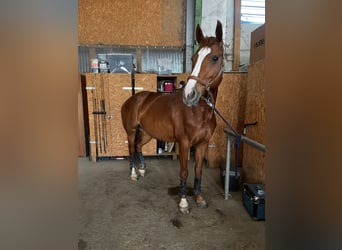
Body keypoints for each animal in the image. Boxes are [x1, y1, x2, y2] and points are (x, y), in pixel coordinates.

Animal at [121, 20, 224, 214]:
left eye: (215, 58)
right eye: (193, 58)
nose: (189, 94)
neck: (199, 112)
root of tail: (132, 99)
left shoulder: (202, 143)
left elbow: (198, 171)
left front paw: (199, 198)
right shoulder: (184, 143)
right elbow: (184, 172)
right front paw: (183, 202)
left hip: (147, 133)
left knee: (138, 147)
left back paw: (142, 170)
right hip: (131, 131)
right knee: (131, 149)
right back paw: (133, 174)